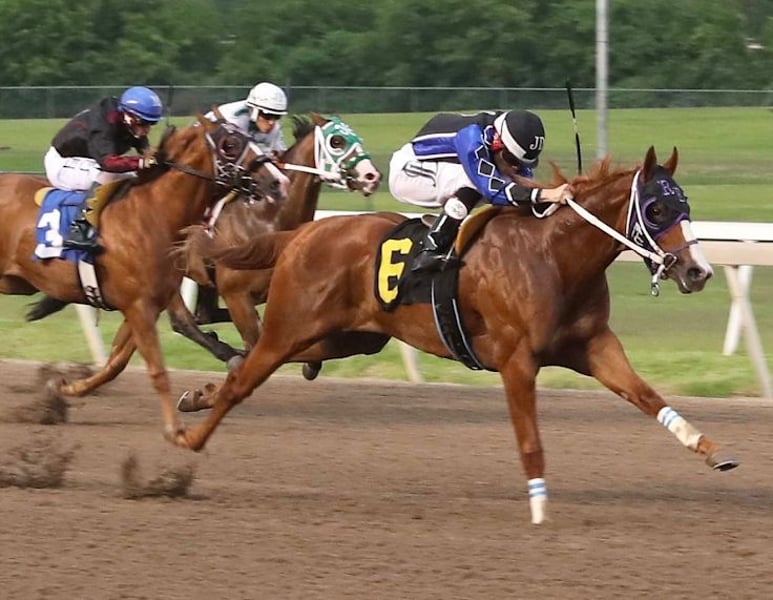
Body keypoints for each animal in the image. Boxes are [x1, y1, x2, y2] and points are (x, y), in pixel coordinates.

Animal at [0, 114, 289, 443]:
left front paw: (64, 387)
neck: (153, 214)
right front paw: (176, 429)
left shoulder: (146, 303)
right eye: (230, 145)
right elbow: (157, 370)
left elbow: (116, 362)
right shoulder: (139, 306)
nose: (277, 181)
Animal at [168, 113, 381, 366]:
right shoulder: (236, 295)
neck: (266, 220)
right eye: (336, 141)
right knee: (182, 321)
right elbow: (258, 341)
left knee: (203, 316)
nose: (372, 176)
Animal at [173, 146, 739, 523]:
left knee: (281, 362)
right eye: (658, 209)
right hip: (292, 323)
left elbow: (647, 395)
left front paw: (710, 448)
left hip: (353, 334)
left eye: (686, 205)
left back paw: (197, 395)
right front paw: (539, 507)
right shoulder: (516, 359)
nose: (698, 271)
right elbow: (530, 439)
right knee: (248, 376)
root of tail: (303, 232)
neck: (554, 256)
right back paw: (188, 445)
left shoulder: (594, 346)